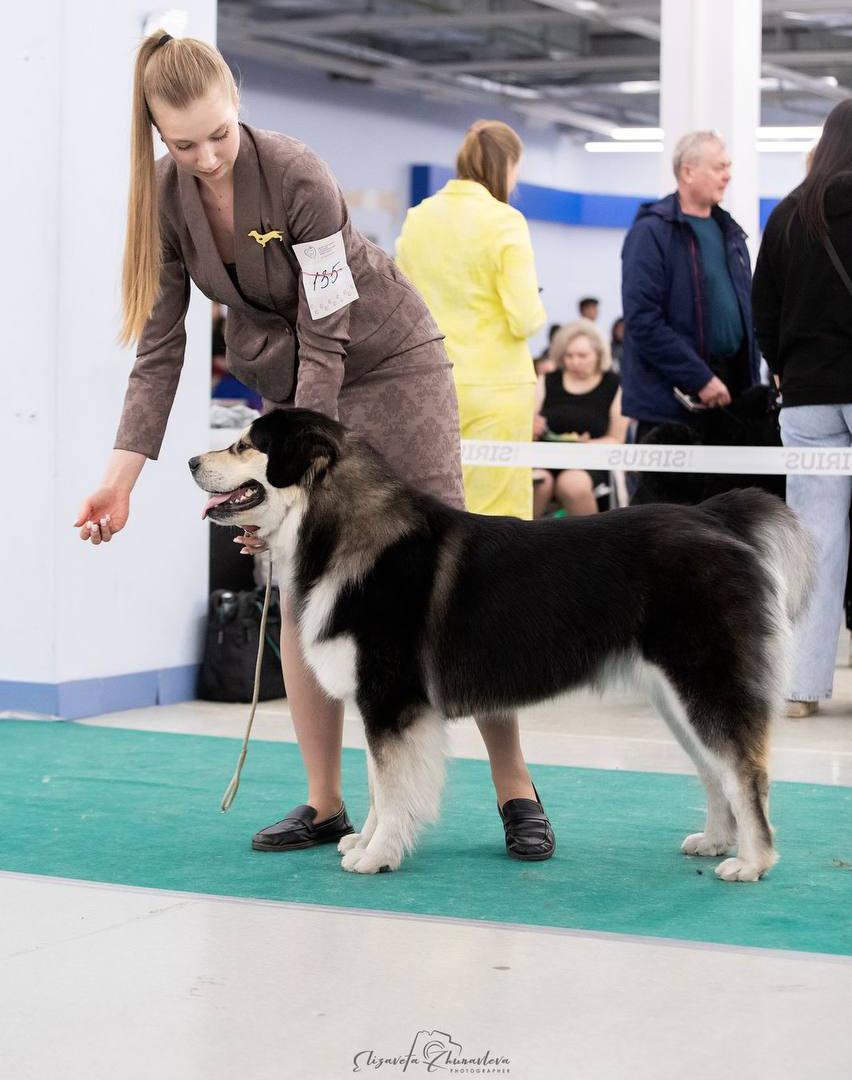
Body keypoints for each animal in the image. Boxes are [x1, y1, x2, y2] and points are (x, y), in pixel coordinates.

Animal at [189, 408, 813, 880]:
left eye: (244, 445)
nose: (191, 460)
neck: (339, 529)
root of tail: (716, 519)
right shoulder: (378, 703)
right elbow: (377, 784)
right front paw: (364, 840)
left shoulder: (391, 699)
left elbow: (392, 786)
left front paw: (378, 855)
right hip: (676, 697)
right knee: (715, 771)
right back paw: (715, 841)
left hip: (704, 682)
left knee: (745, 772)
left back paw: (753, 862)